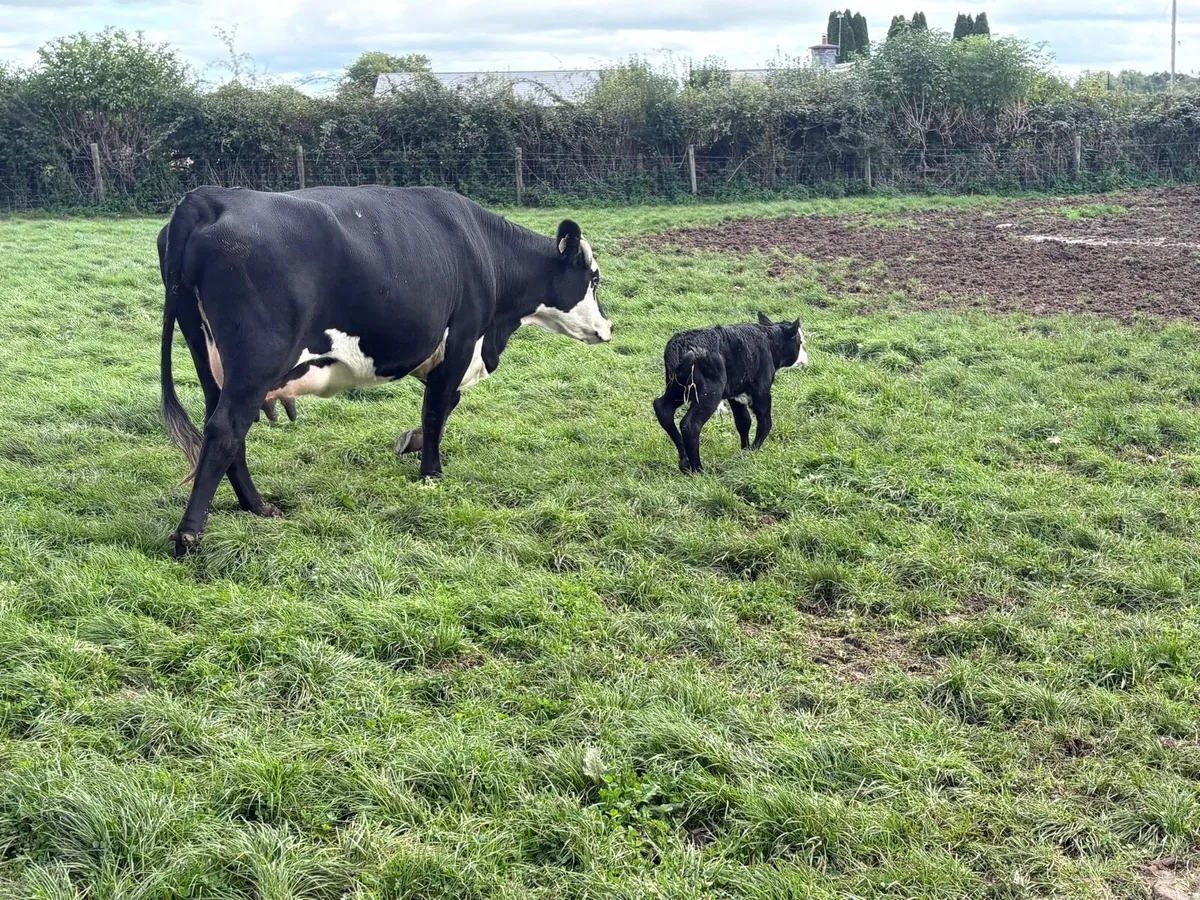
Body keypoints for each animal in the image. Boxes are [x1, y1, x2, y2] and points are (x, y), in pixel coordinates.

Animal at [158, 184, 611, 558]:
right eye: (593, 278)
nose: (608, 327)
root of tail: (209, 198)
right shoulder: (461, 341)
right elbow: (437, 409)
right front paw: (431, 473)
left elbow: (441, 407)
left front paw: (411, 443)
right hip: (254, 364)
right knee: (225, 430)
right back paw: (190, 534)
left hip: (209, 360)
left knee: (223, 429)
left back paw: (256, 506)